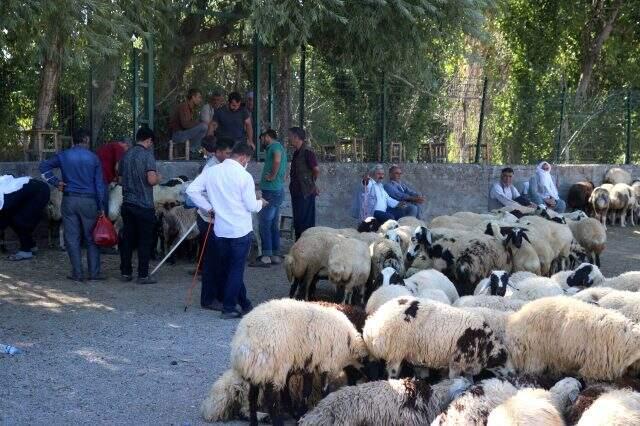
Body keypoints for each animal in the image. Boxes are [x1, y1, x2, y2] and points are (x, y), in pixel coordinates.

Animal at [232, 298, 368, 424]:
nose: (354, 384)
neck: (349, 344)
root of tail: (242, 345)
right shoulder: (325, 363)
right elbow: (323, 389)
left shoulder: (309, 364)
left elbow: (306, 390)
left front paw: (301, 412)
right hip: (273, 369)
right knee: (272, 402)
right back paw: (277, 421)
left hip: (257, 371)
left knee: (252, 398)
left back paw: (254, 422)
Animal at [362, 296, 508, 380]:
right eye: (502, 362)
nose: (511, 376)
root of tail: (372, 324)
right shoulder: (456, 362)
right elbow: (453, 379)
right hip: (396, 351)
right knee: (391, 372)